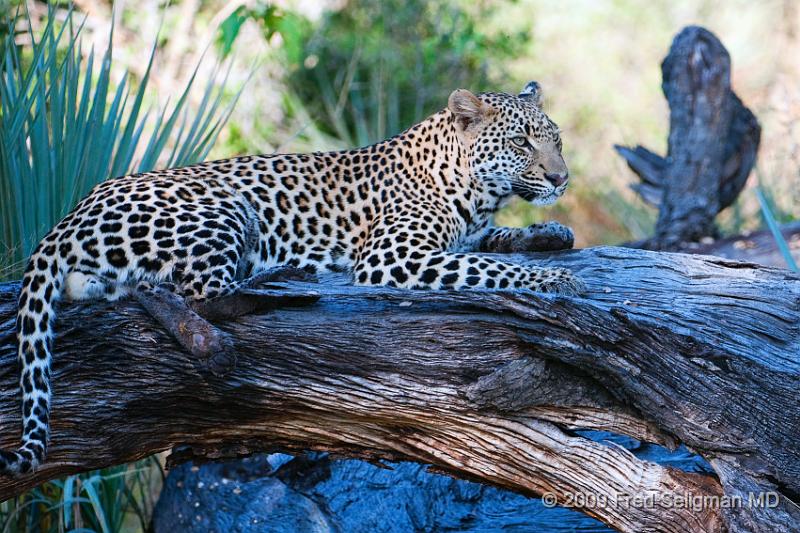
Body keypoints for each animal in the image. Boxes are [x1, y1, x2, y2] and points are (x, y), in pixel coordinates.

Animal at [3, 82, 584, 474]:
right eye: (523, 143)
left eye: (557, 140)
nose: (561, 179)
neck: (477, 191)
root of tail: (67, 218)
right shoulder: (393, 255)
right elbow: (489, 268)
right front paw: (559, 280)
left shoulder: (465, 236)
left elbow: (495, 244)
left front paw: (551, 233)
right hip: (224, 206)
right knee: (206, 291)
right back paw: (284, 281)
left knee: (153, 288)